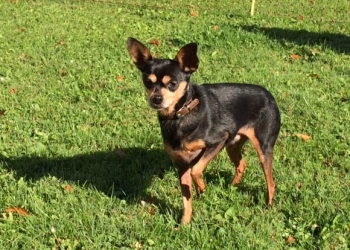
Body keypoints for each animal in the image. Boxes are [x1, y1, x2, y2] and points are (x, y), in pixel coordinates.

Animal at [127, 37, 280, 225]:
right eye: (148, 82)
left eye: (173, 84)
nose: (156, 99)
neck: (180, 116)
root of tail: (270, 96)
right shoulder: (181, 164)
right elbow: (186, 199)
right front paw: (184, 223)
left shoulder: (217, 141)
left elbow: (196, 170)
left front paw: (202, 188)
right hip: (232, 145)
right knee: (242, 165)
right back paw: (231, 187)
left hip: (263, 148)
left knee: (271, 182)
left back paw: (268, 205)